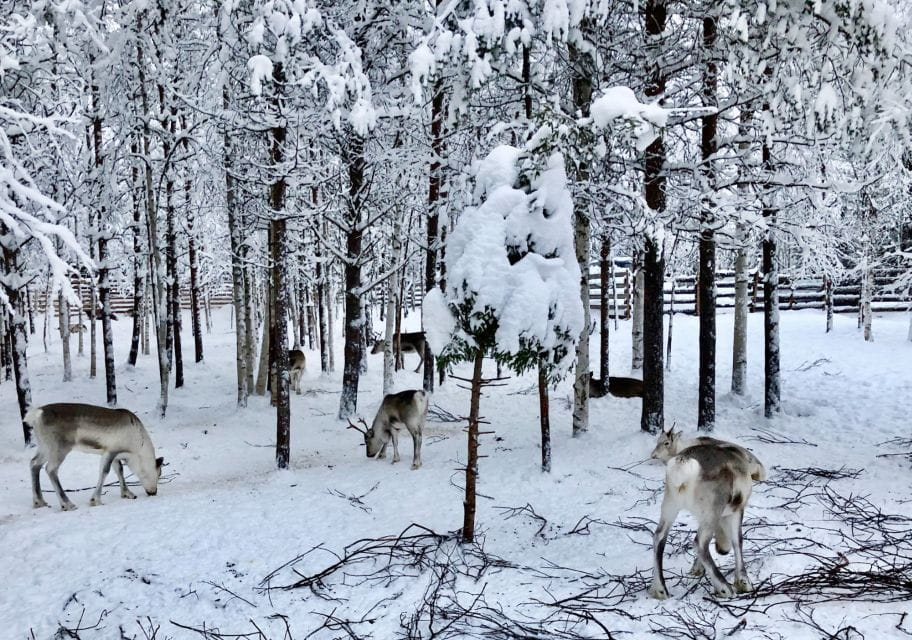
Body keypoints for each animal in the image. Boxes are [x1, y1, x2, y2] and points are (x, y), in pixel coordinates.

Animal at [25, 403, 164, 511]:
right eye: (159, 473)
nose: (153, 492)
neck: (136, 448)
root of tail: (37, 415)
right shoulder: (111, 451)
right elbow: (105, 471)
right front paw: (95, 500)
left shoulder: (114, 454)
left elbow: (119, 470)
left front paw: (127, 493)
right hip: (60, 448)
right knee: (50, 469)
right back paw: (67, 504)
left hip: (44, 447)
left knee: (34, 463)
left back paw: (39, 502)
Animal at [648, 428, 766, 600]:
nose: (722, 550)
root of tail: (683, 463)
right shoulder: (736, 509)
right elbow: (738, 541)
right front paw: (744, 582)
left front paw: (696, 569)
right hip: (712, 510)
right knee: (699, 543)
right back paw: (724, 588)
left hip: (670, 504)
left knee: (659, 536)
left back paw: (660, 589)